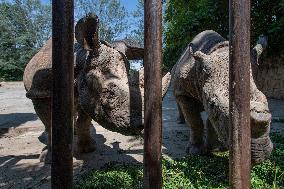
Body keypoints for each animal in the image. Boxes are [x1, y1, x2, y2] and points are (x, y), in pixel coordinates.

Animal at [23, 14, 171, 163]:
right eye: (109, 93)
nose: (139, 125)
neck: (82, 59)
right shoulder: (39, 92)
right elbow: (50, 124)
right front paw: (48, 158)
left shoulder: (87, 95)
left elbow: (84, 120)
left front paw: (88, 149)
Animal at [171, 29, 272, 164]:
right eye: (213, 104)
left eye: (266, 99)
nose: (260, 153)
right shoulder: (184, 93)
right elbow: (195, 122)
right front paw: (195, 152)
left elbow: (211, 122)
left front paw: (217, 148)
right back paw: (181, 121)